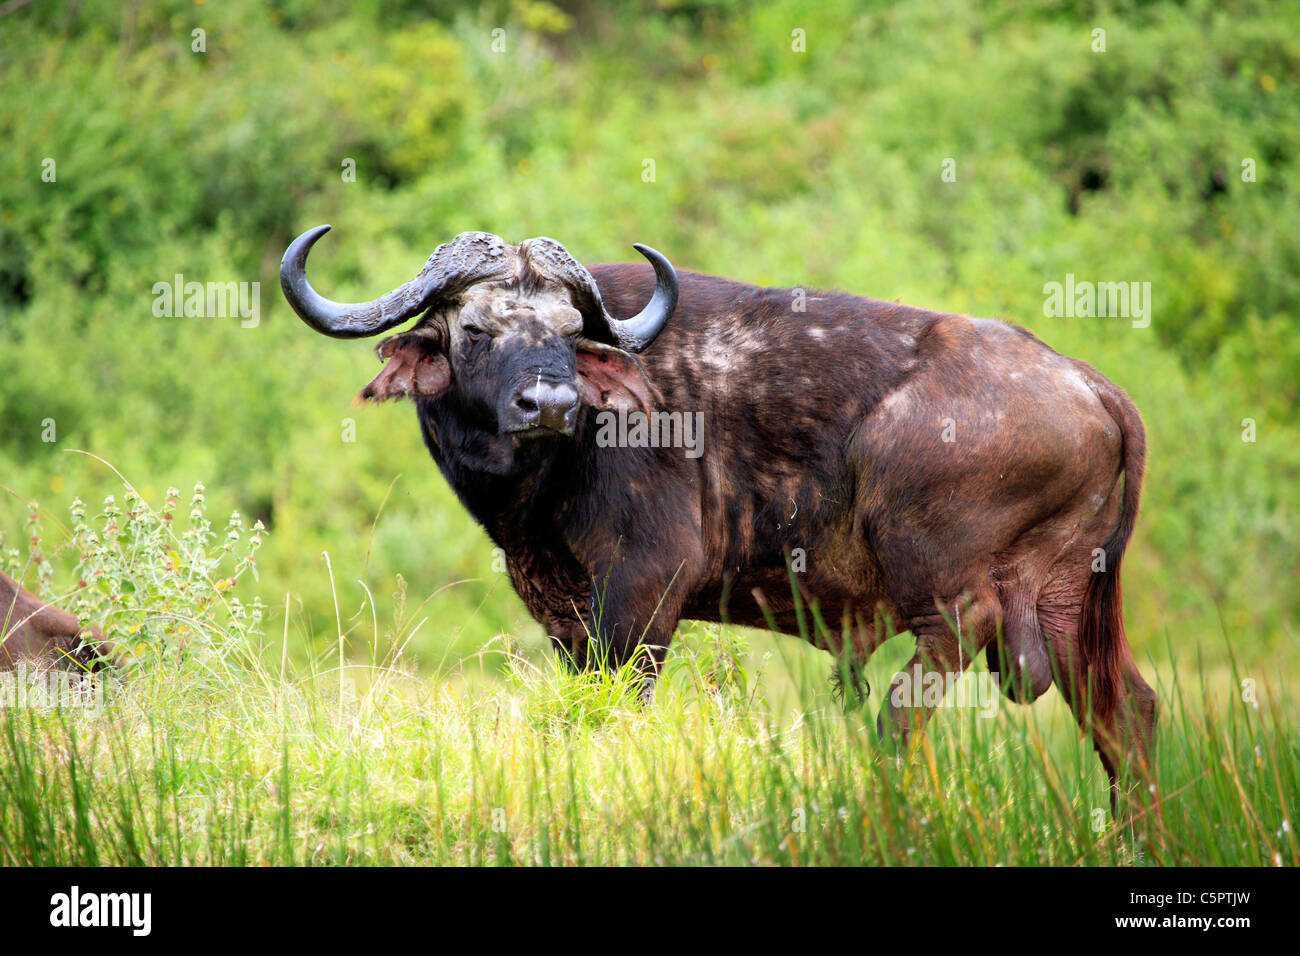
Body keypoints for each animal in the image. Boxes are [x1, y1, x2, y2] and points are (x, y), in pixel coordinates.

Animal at [282, 227, 1159, 811]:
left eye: (568, 334)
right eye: (475, 329)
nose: (550, 402)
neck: (547, 468)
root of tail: (1083, 380)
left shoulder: (643, 589)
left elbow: (615, 704)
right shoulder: (562, 607)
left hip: (938, 577)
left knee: (933, 669)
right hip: (1069, 602)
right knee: (1128, 713)